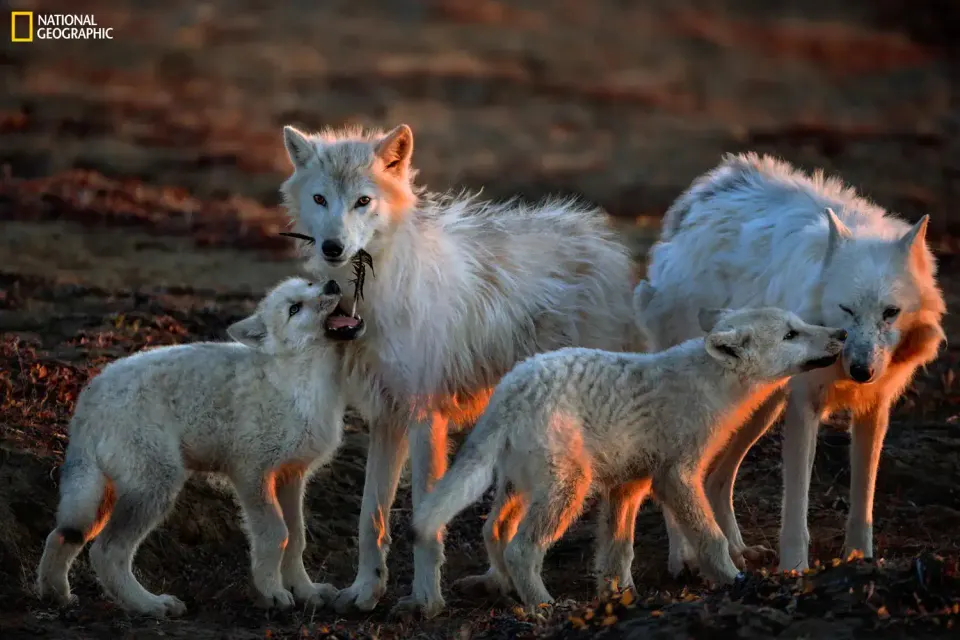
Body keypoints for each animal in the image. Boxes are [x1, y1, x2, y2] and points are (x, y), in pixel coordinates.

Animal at [36, 277, 364, 617]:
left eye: (310, 284)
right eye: (294, 309)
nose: (331, 283)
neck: (300, 381)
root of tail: (88, 398)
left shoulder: (291, 477)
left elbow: (297, 538)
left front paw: (306, 591)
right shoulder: (252, 475)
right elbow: (276, 535)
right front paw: (272, 593)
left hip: (102, 495)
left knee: (61, 536)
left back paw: (56, 596)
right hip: (155, 487)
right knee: (106, 551)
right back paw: (150, 605)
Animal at [279, 123, 641, 616]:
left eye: (362, 201)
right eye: (320, 199)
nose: (333, 247)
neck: (374, 294)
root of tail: (603, 242)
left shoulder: (424, 419)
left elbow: (425, 522)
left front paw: (425, 602)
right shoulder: (386, 418)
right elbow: (370, 519)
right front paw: (364, 591)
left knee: (618, 505)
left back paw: (619, 586)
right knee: (500, 526)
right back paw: (498, 582)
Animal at [413, 307, 847, 609]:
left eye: (800, 323)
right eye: (791, 334)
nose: (841, 333)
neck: (711, 386)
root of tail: (509, 391)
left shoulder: (630, 484)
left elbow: (618, 550)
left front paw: (619, 596)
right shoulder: (677, 476)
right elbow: (711, 538)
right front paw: (733, 580)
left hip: (519, 487)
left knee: (494, 531)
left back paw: (507, 591)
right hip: (568, 489)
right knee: (521, 549)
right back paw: (543, 607)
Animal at [637, 153, 946, 573]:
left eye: (890, 313)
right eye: (846, 309)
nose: (861, 370)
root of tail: (705, 193)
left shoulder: (874, 407)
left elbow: (863, 498)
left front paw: (860, 558)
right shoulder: (804, 406)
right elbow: (797, 504)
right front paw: (795, 569)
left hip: (758, 410)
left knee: (717, 479)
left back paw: (739, 551)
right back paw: (683, 558)